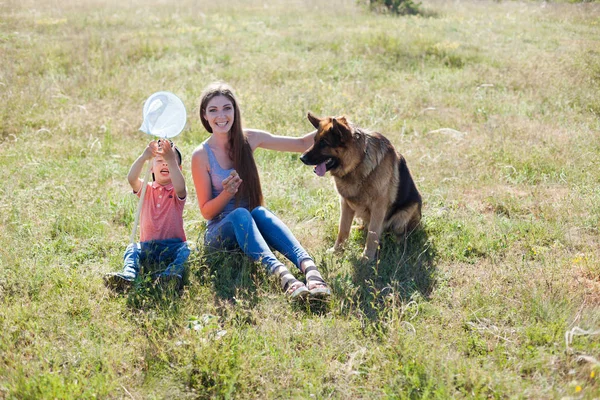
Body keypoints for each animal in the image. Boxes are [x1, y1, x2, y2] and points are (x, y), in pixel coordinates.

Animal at [300, 112, 422, 260]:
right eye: (315, 140)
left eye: (324, 143)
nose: (302, 158)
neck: (358, 162)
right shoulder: (345, 204)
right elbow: (343, 229)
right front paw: (337, 251)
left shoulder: (378, 207)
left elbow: (372, 234)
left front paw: (367, 258)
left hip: (407, 210)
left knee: (399, 234)